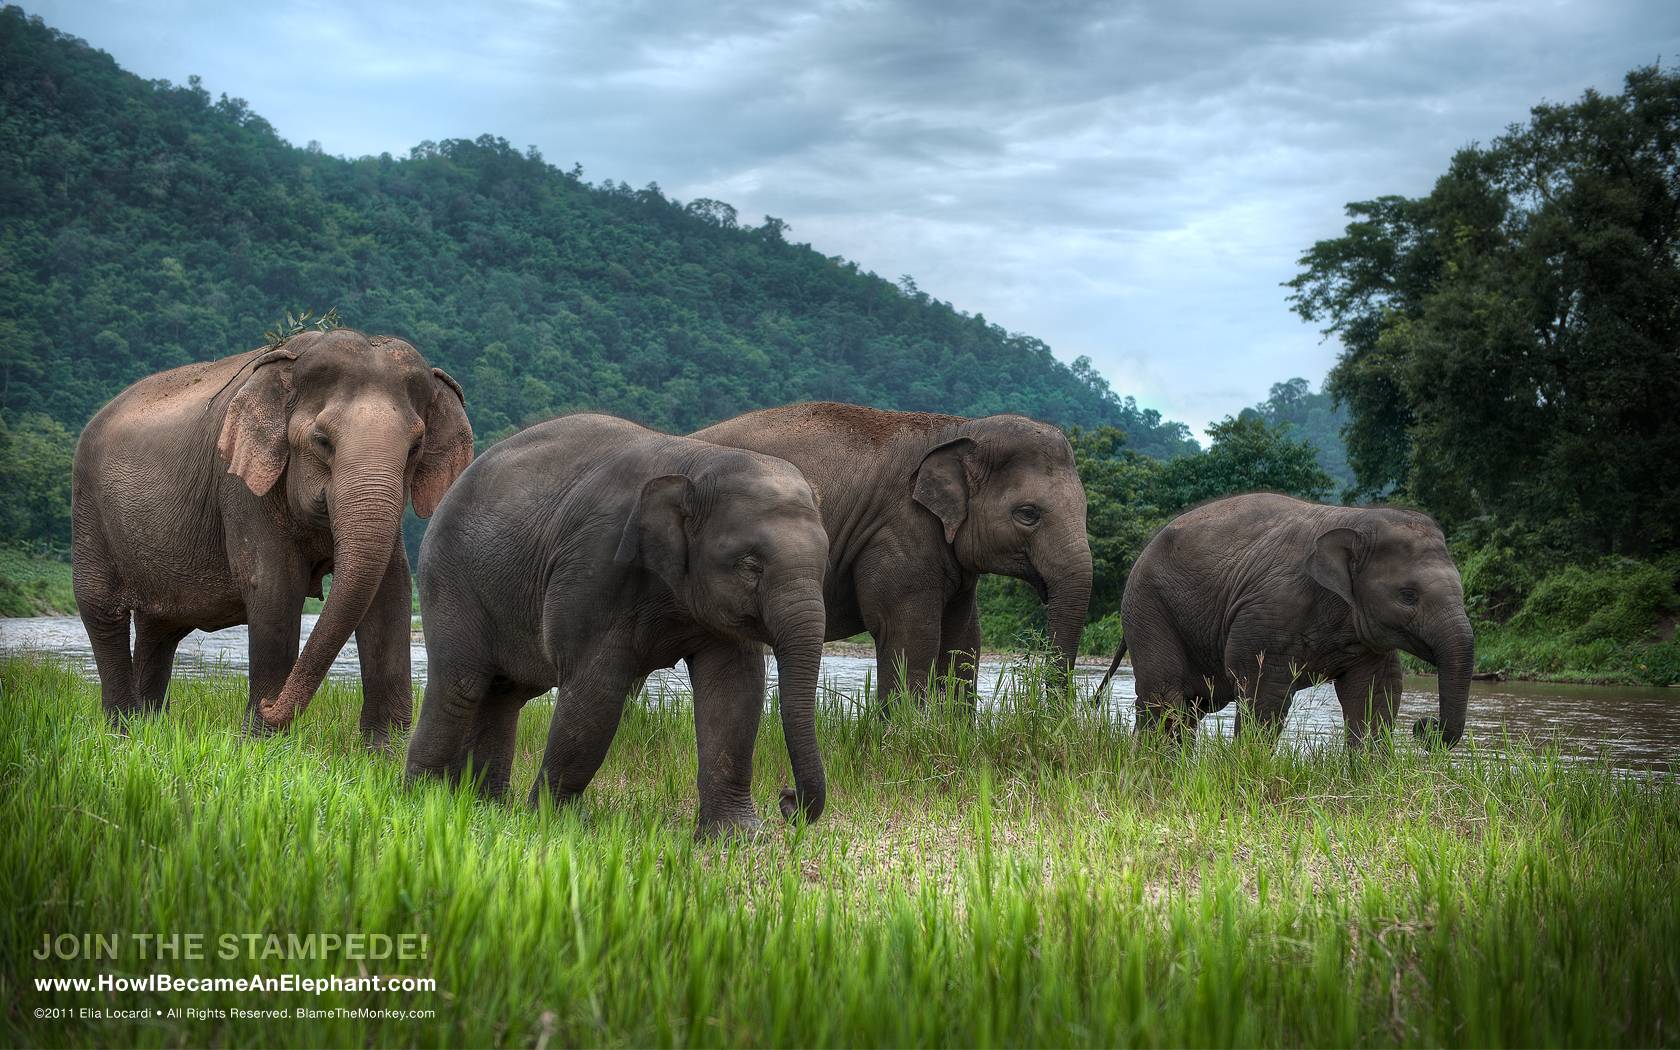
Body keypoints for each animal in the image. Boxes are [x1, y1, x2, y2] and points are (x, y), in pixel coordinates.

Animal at [71, 329, 473, 742]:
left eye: (415, 448)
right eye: (322, 440)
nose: (269, 705)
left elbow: (390, 591)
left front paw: (385, 749)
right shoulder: (239, 485)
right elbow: (275, 586)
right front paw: (260, 740)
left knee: (159, 628)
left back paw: (149, 726)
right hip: (88, 510)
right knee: (102, 611)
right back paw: (122, 731)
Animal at [403, 413, 830, 836]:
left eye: (826, 562)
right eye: (750, 565)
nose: (787, 800)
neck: (696, 463)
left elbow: (735, 690)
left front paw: (739, 835)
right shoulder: (594, 564)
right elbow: (597, 690)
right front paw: (558, 822)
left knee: (506, 694)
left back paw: (486, 804)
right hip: (449, 580)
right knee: (460, 685)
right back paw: (423, 797)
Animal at [693, 403, 1093, 710]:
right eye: (1028, 514)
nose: (1056, 719)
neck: (956, 428)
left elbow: (964, 640)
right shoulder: (899, 533)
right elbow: (908, 635)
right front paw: (901, 742)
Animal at [1094, 492, 1474, 748]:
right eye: (1408, 595)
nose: (1425, 727)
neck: (1357, 519)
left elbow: (1374, 693)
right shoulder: (1270, 613)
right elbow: (1264, 690)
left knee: (1185, 704)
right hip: (1148, 607)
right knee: (1165, 696)